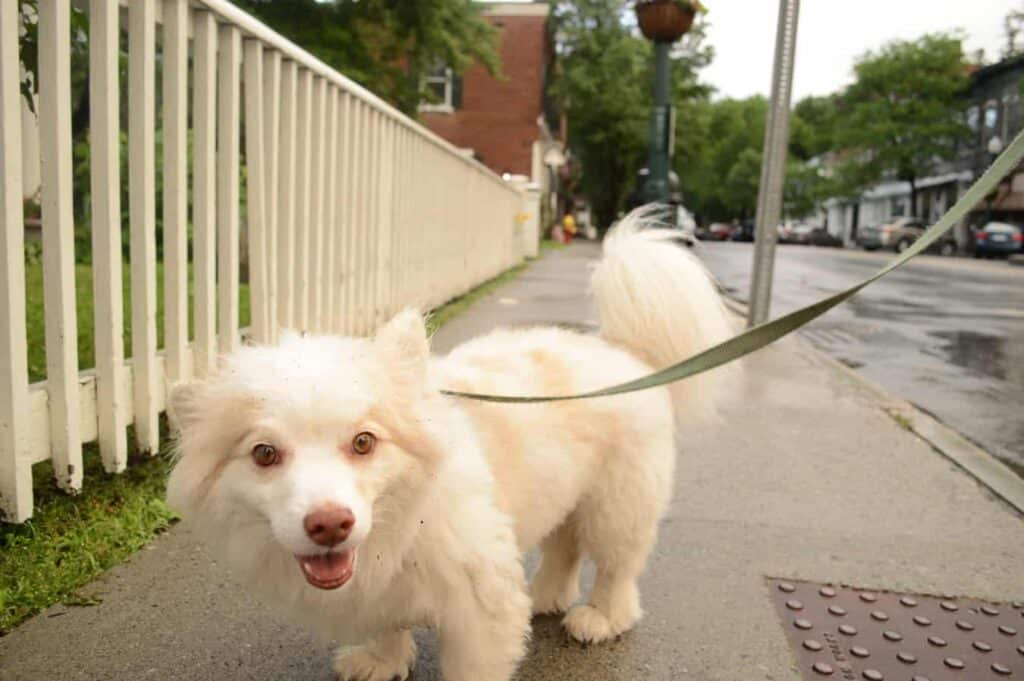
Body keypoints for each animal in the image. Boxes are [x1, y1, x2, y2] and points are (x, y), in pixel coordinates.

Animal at [167, 214, 737, 679]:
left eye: (363, 442)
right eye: (264, 453)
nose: (330, 524)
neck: (400, 525)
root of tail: (623, 351)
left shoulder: (481, 610)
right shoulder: (381, 594)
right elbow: (386, 628)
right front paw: (380, 662)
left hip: (616, 507)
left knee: (618, 568)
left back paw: (598, 617)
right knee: (564, 549)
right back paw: (545, 596)